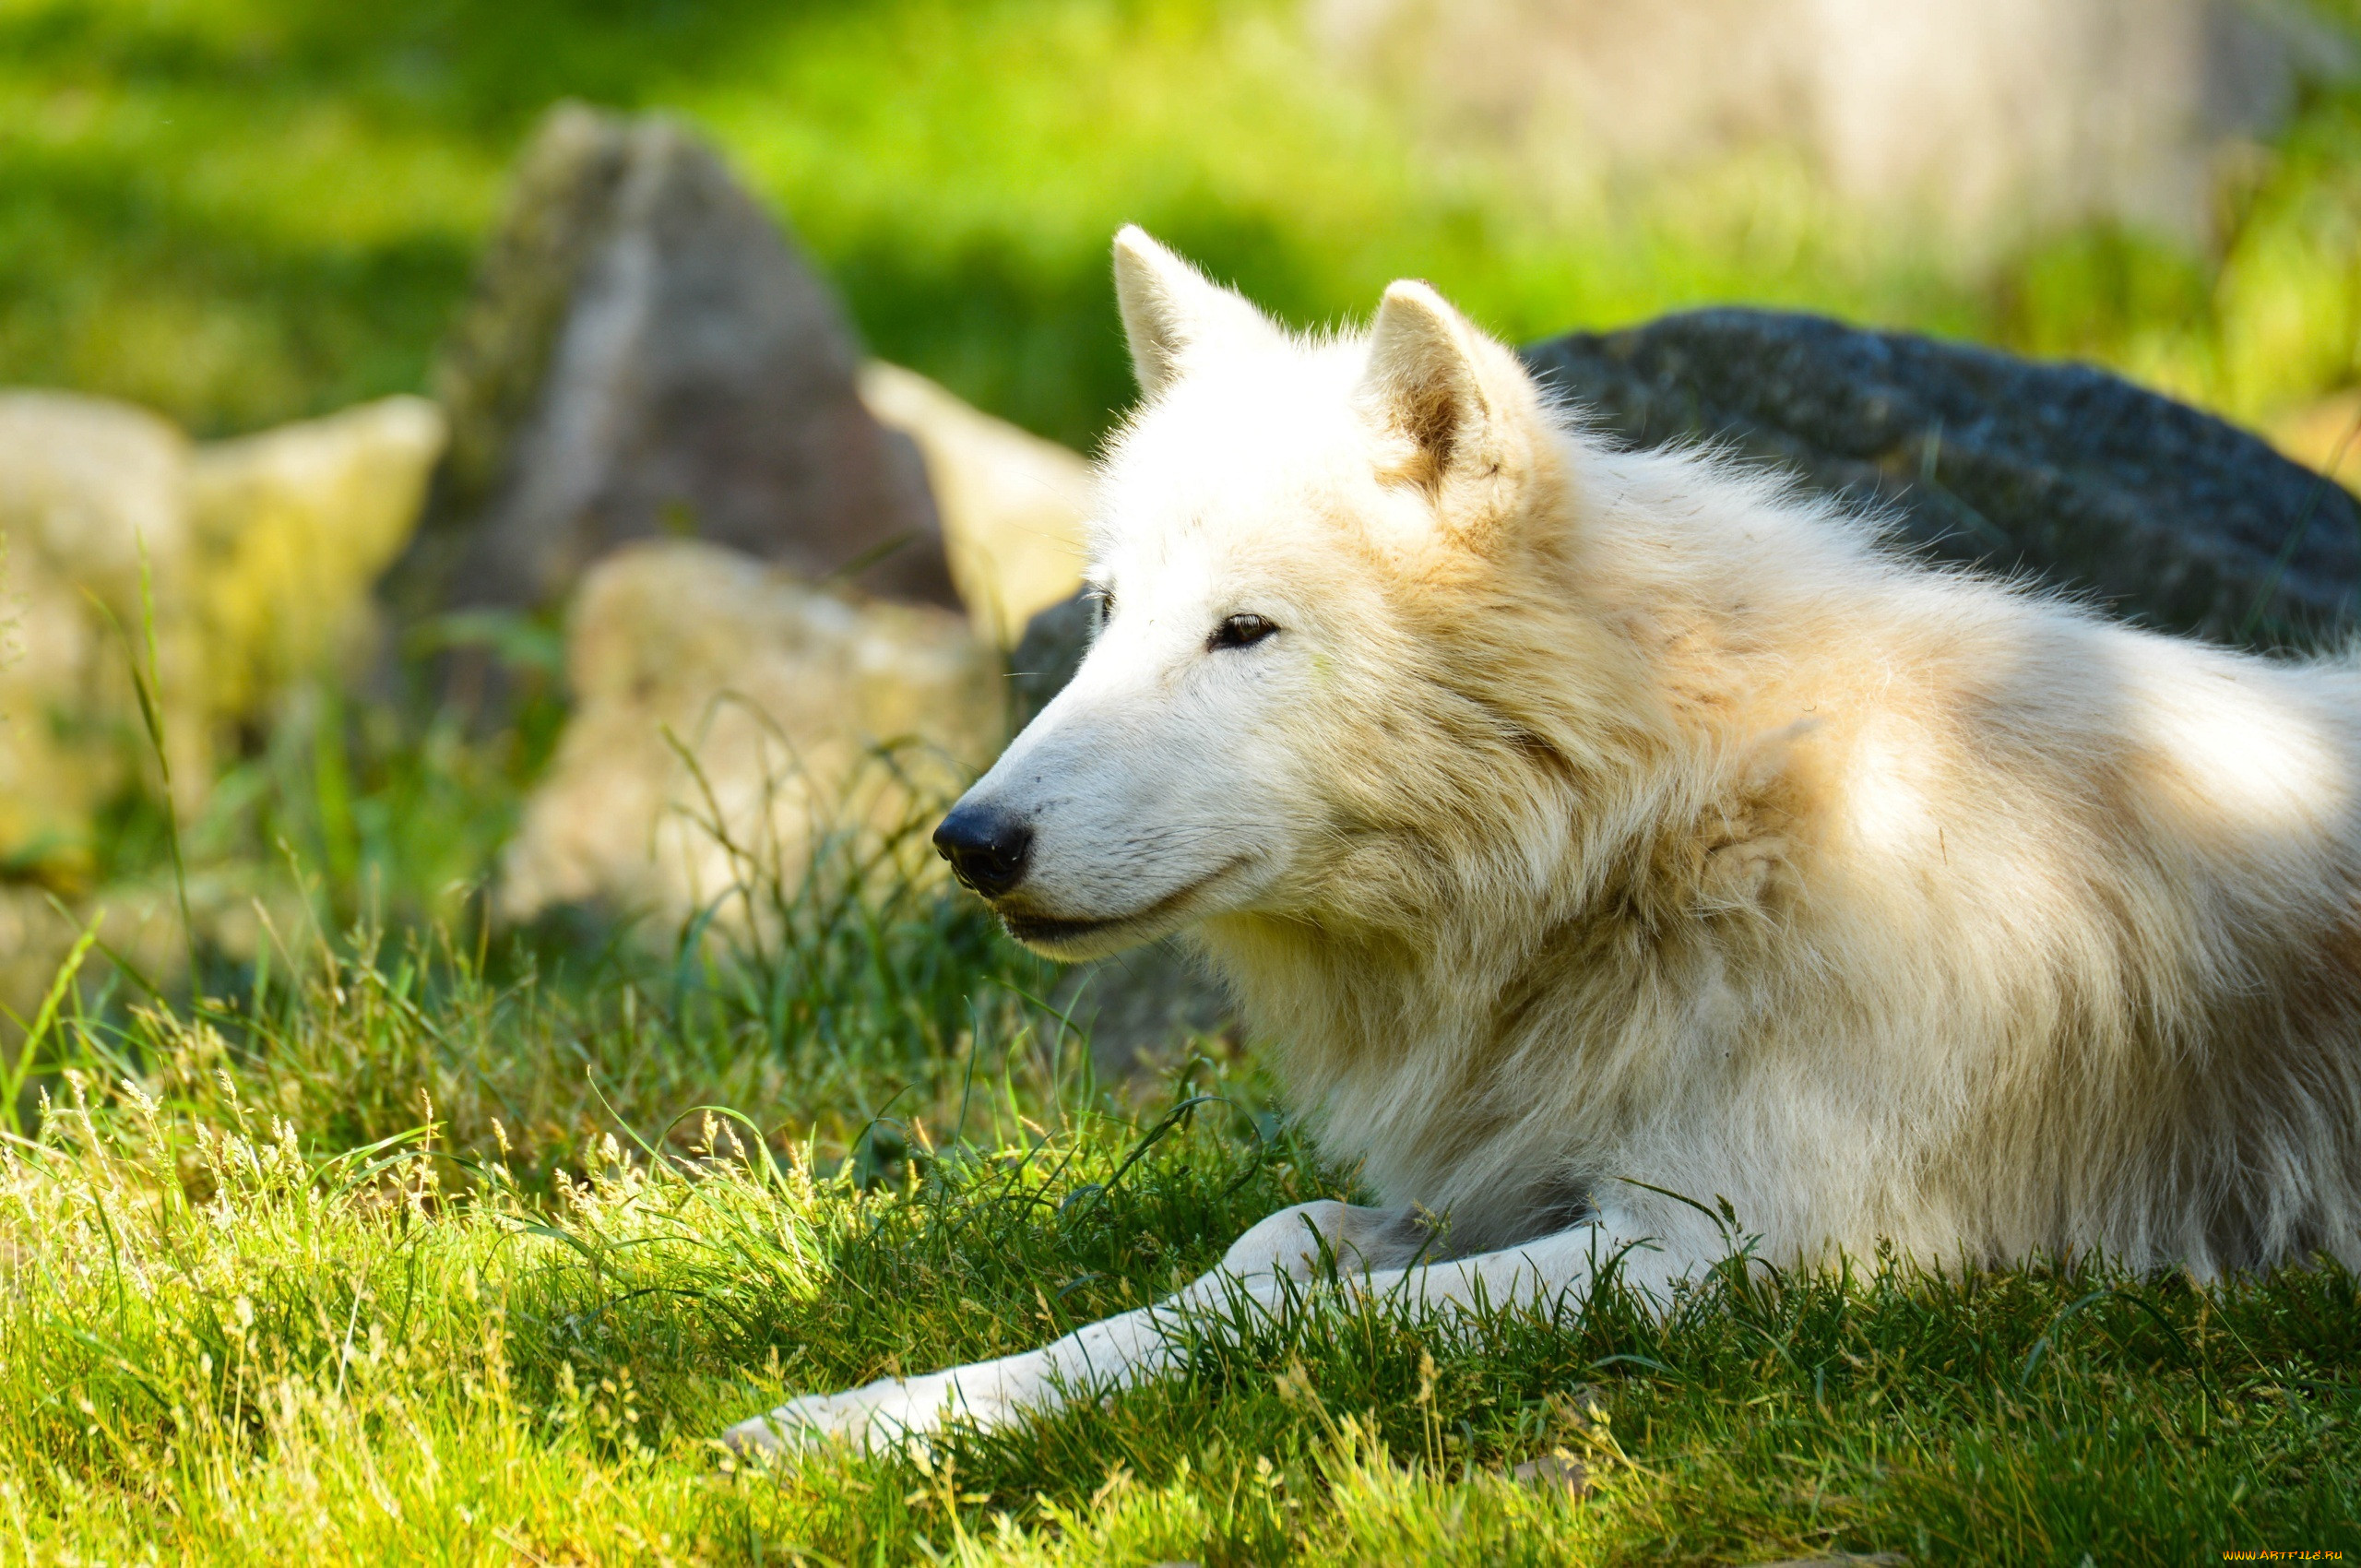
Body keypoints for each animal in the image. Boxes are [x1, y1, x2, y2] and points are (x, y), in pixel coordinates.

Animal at [718, 226, 2361, 1455]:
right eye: (1107, 615)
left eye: (1245, 633)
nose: (969, 839)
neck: (1681, 833)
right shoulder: (1516, 1185)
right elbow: (1268, 1254)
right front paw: (868, 1412)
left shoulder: (1739, 1256)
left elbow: (1284, 1320)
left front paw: (876, 1426)